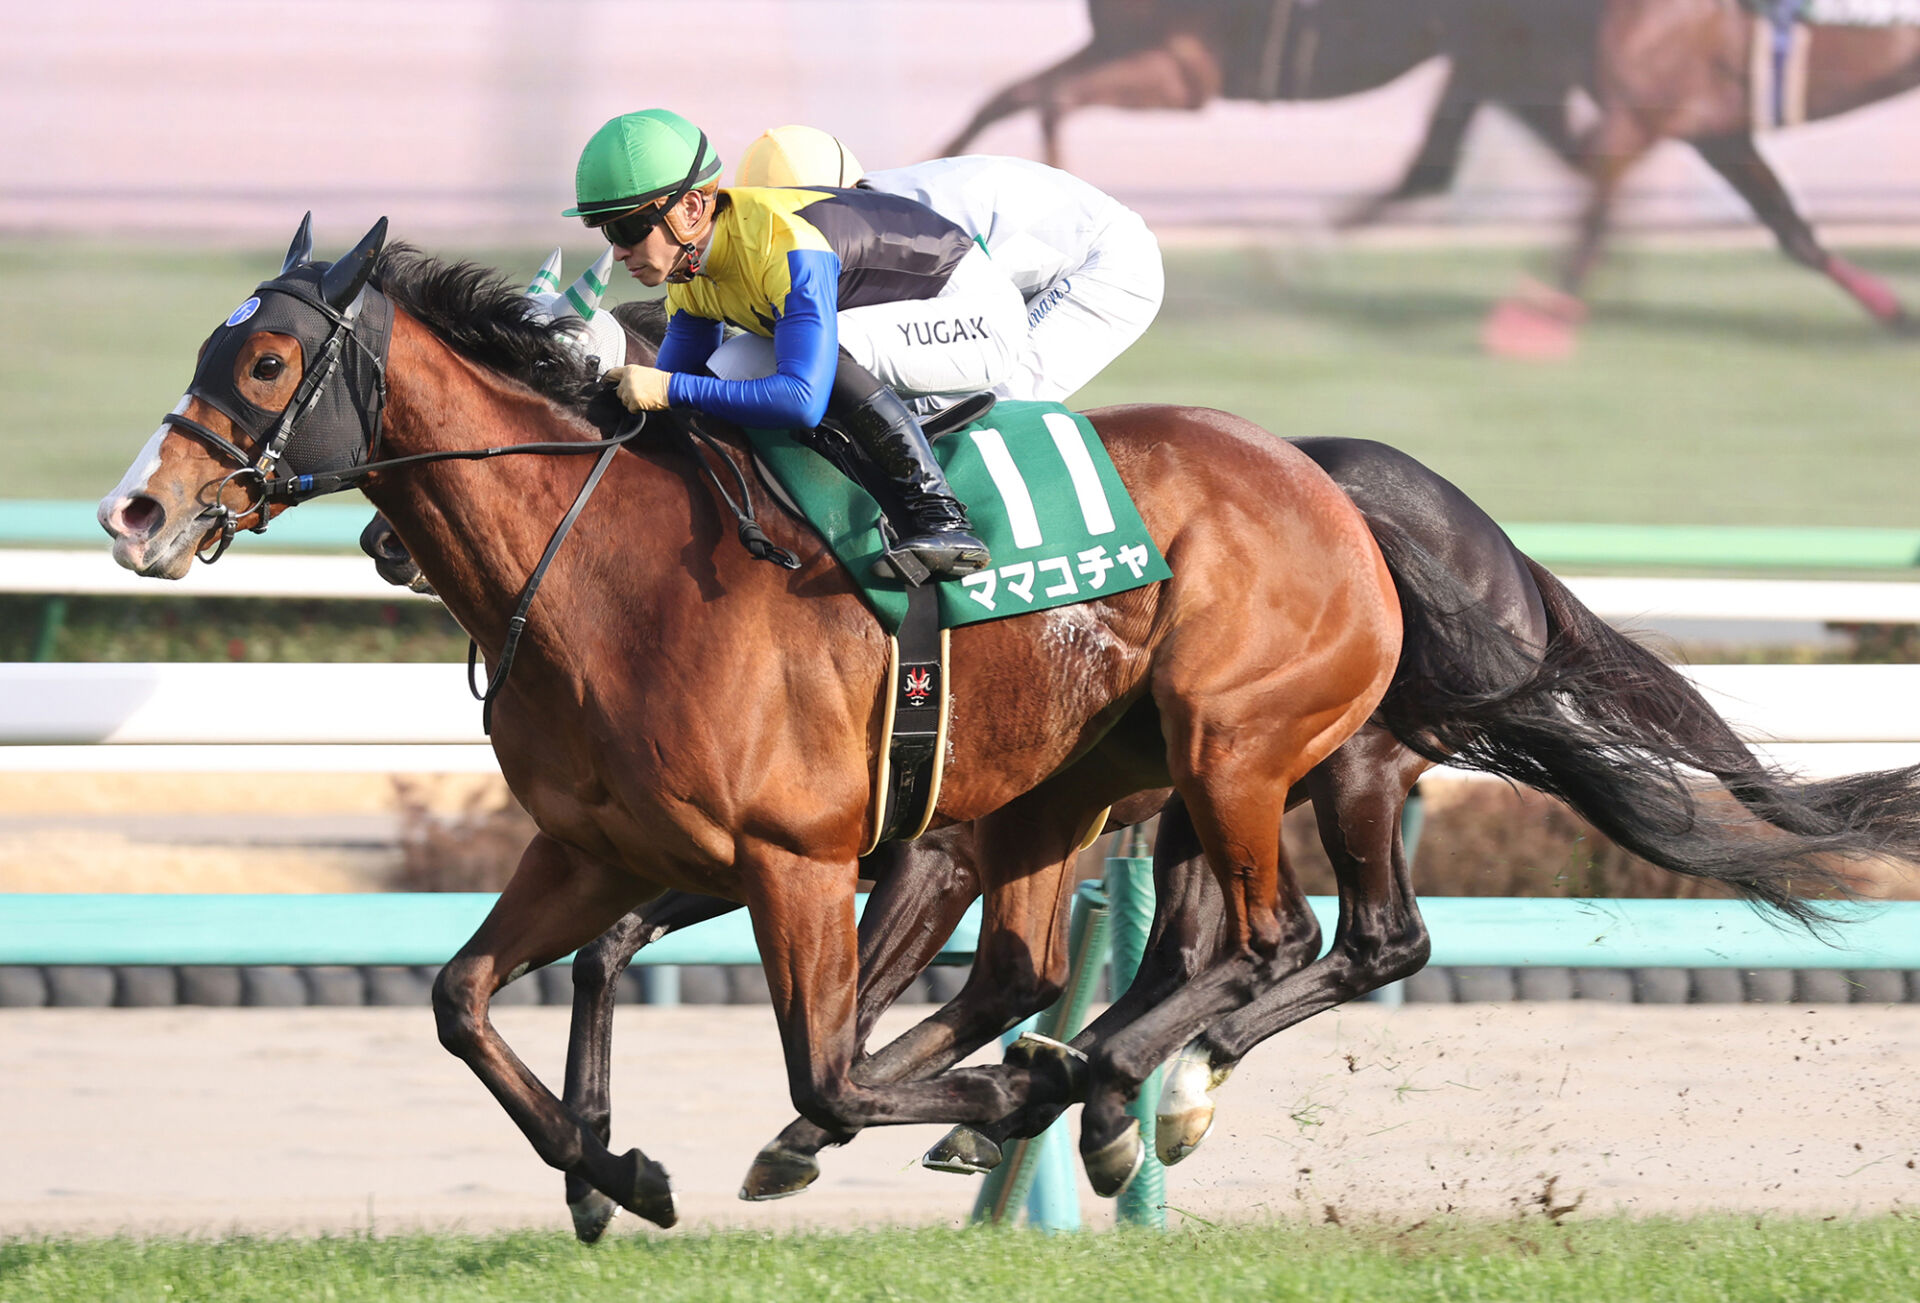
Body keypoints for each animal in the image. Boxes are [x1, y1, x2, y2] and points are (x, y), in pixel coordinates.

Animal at [98, 217, 1406, 1218]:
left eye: (268, 363)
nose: (133, 512)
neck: (609, 571)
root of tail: (1324, 486)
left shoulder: (800, 856)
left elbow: (827, 1070)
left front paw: (1006, 1095)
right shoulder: (598, 848)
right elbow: (463, 998)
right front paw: (612, 1172)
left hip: (1227, 750)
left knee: (1277, 939)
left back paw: (1126, 1089)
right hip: (1062, 791)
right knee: (1034, 967)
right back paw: (1088, 1087)